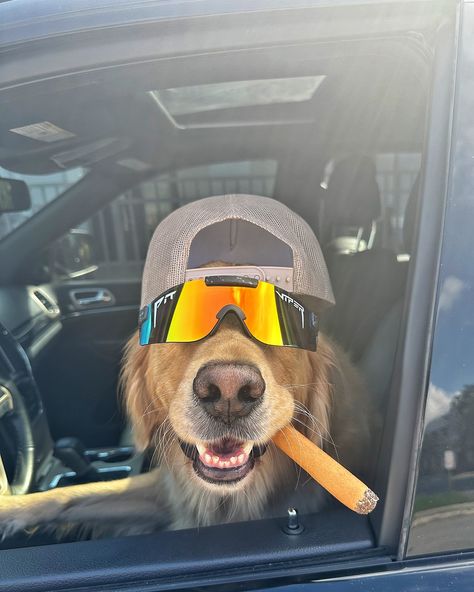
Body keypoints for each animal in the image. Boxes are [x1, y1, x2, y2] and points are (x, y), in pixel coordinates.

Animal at [0, 270, 370, 540]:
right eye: (180, 322)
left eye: (277, 327)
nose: (229, 391)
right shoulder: (168, 492)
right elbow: (73, 494)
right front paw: (9, 509)